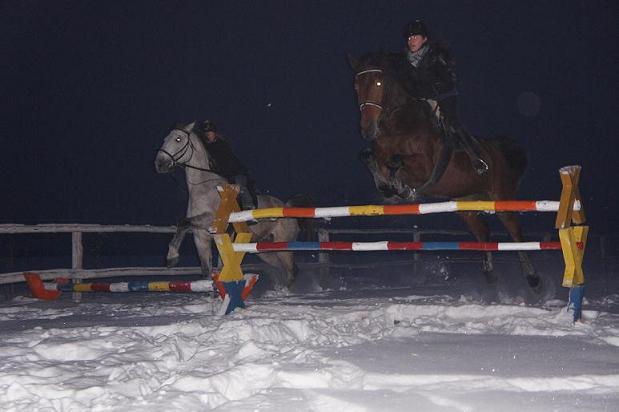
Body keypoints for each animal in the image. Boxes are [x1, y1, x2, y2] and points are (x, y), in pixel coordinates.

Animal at [154, 120, 300, 288]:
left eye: (178, 139)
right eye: (165, 139)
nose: (159, 164)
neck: (203, 187)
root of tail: (287, 206)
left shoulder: (212, 220)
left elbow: (183, 222)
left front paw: (171, 257)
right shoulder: (200, 235)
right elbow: (205, 270)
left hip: (283, 246)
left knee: (291, 271)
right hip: (264, 249)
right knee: (281, 269)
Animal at [348, 52, 544, 290]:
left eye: (378, 83)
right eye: (356, 85)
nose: (367, 129)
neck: (399, 126)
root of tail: (499, 150)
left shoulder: (425, 168)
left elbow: (396, 162)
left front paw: (401, 189)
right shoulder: (379, 154)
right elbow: (368, 158)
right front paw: (389, 187)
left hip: (501, 197)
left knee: (515, 232)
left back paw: (533, 278)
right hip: (466, 204)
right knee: (483, 231)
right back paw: (490, 276)